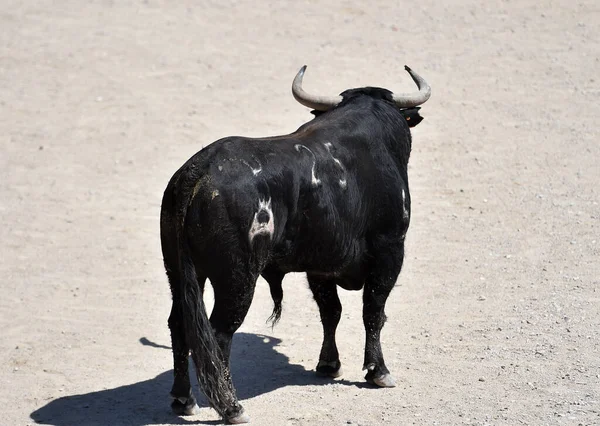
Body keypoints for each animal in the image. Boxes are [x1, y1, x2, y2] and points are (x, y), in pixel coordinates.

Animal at [159, 65, 432, 422]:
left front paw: (328, 363)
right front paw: (378, 371)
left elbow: (331, 311)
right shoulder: (390, 249)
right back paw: (231, 406)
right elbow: (373, 311)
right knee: (218, 333)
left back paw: (183, 399)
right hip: (236, 279)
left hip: (179, 272)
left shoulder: (321, 265)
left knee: (179, 324)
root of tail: (197, 172)